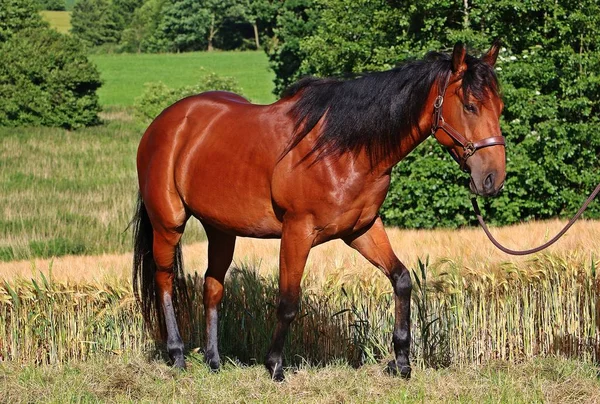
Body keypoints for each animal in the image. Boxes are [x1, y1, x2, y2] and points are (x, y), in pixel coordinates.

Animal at [132, 42, 506, 380]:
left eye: (499, 107)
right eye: (470, 106)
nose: (492, 178)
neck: (344, 149)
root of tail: (164, 124)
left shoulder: (361, 229)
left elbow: (401, 279)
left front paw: (401, 362)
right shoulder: (297, 231)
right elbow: (288, 301)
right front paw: (274, 366)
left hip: (221, 229)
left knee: (212, 286)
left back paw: (213, 360)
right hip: (168, 224)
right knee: (165, 281)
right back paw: (178, 355)